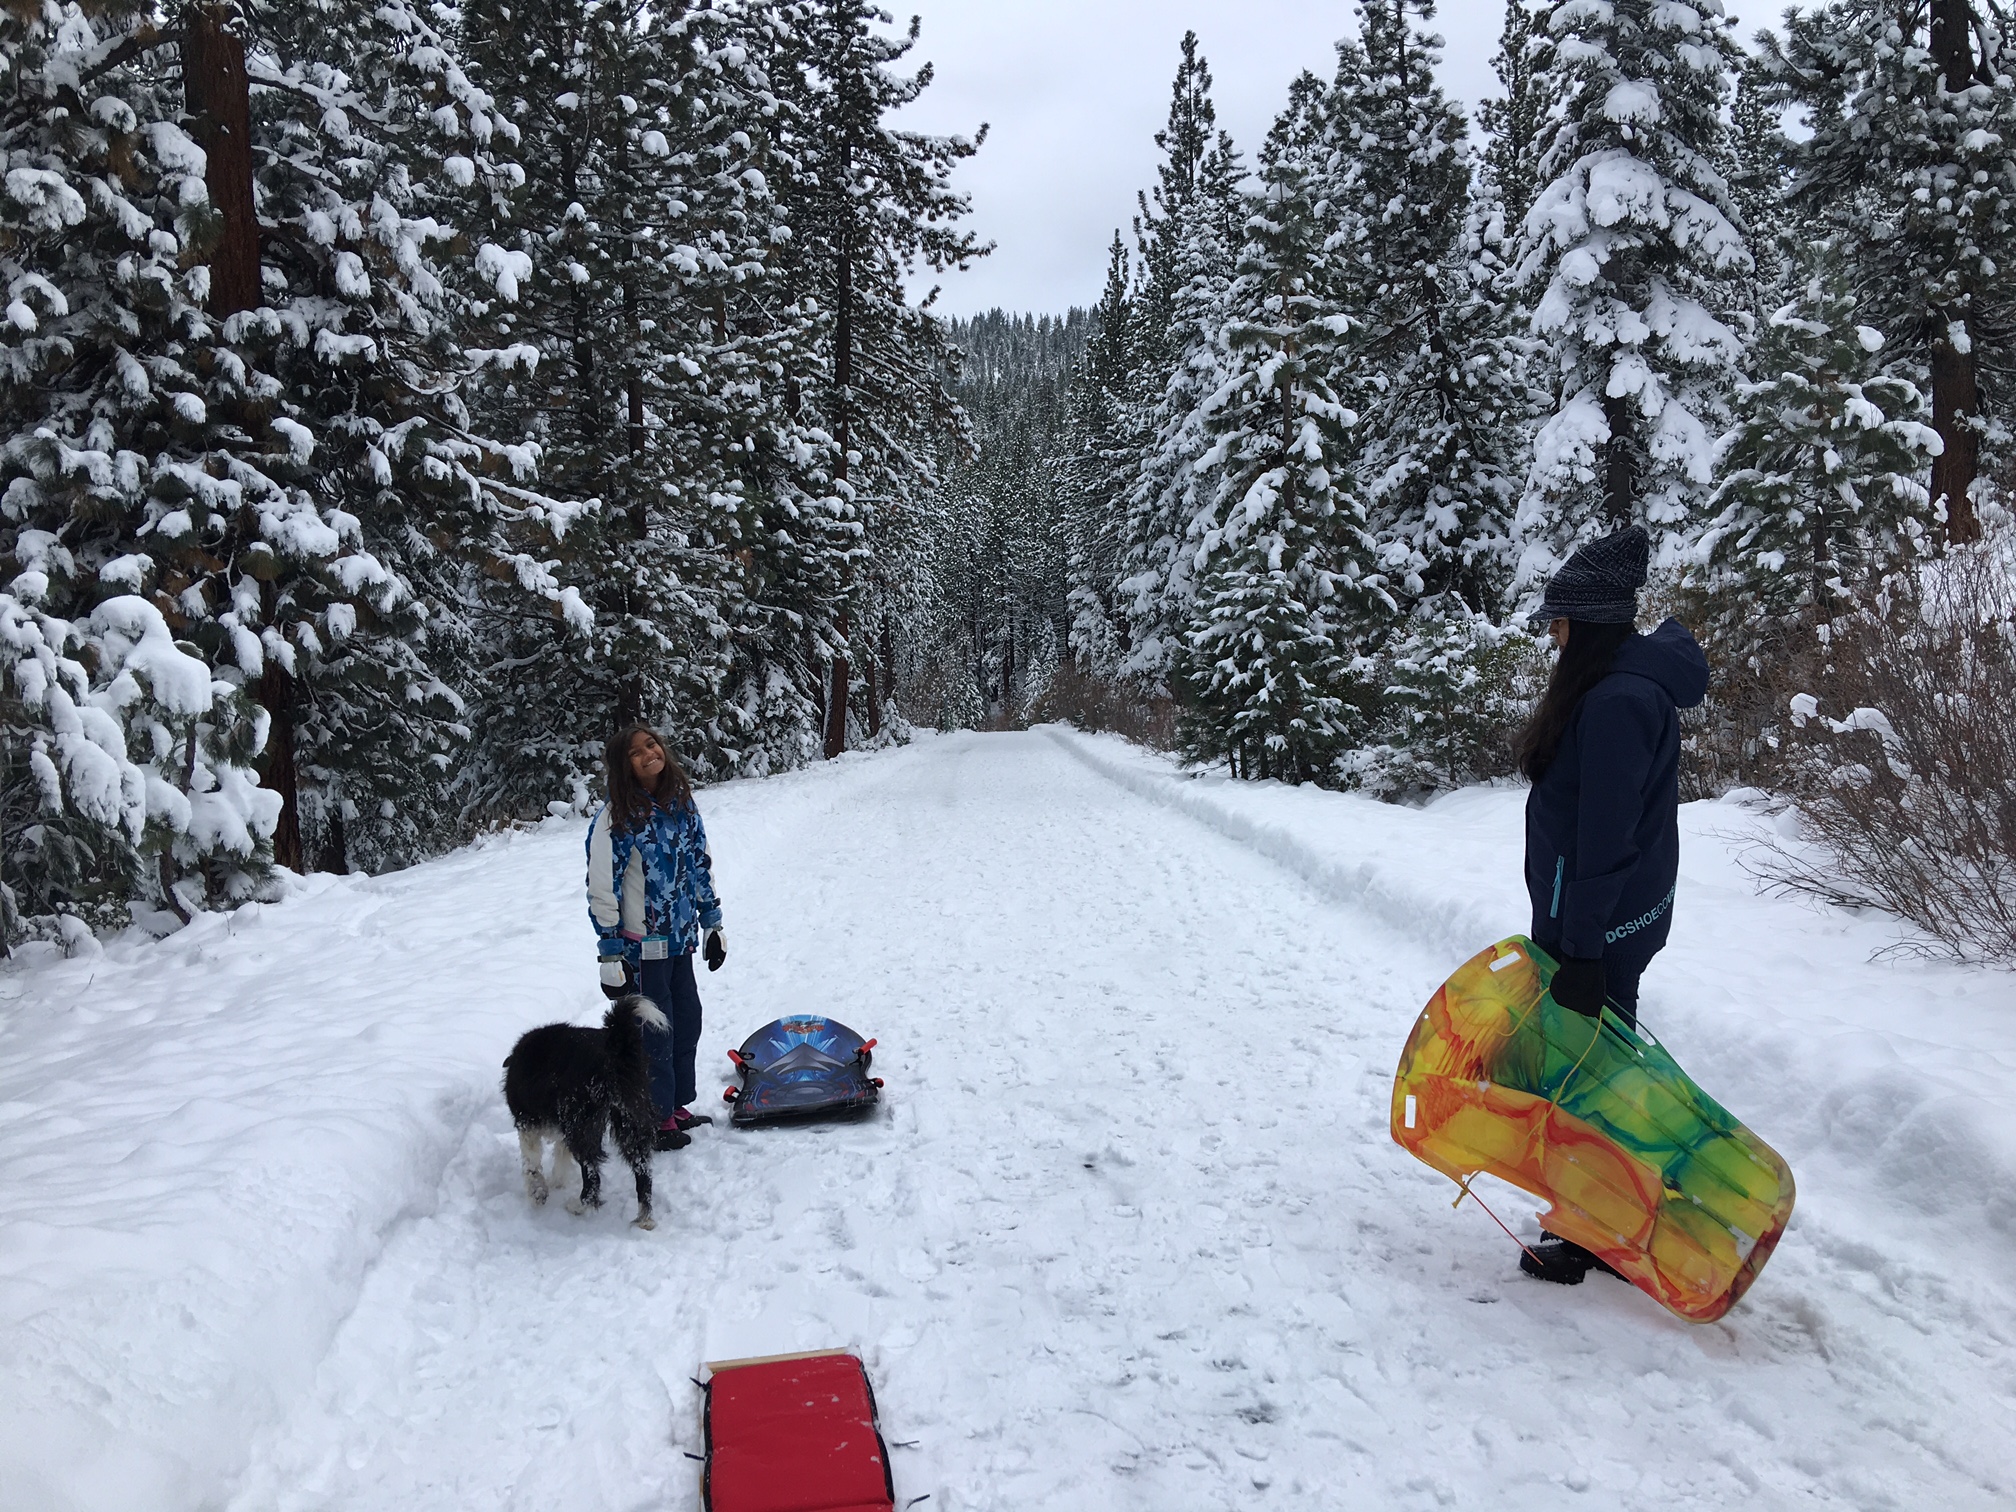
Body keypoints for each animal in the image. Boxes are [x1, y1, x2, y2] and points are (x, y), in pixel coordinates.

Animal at [508, 995, 665, 1233]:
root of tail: (615, 1048)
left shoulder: (527, 1123)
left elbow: (531, 1164)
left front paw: (538, 1193)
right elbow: (559, 1158)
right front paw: (556, 1182)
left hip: (581, 1124)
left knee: (592, 1176)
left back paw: (577, 1207)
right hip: (630, 1117)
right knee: (643, 1170)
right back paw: (645, 1219)